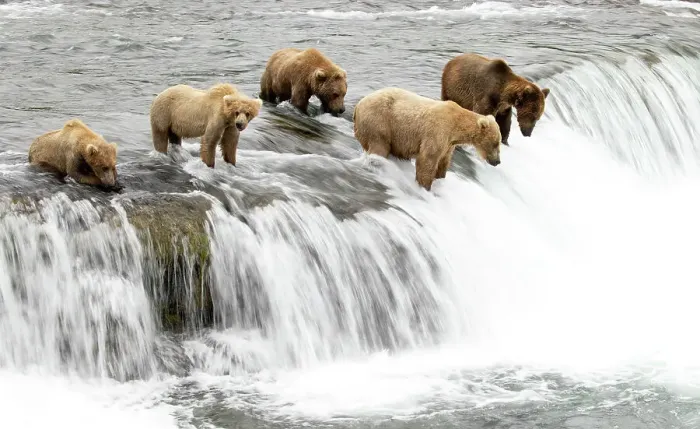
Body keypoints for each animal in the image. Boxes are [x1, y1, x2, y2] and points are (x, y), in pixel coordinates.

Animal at [353, 87, 502, 191]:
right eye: (495, 143)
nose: (497, 161)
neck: (455, 126)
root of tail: (358, 106)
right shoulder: (437, 131)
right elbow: (427, 160)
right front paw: (425, 187)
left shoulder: (448, 144)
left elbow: (443, 162)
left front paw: (440, 178)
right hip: (378, 123)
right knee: (379, 147)